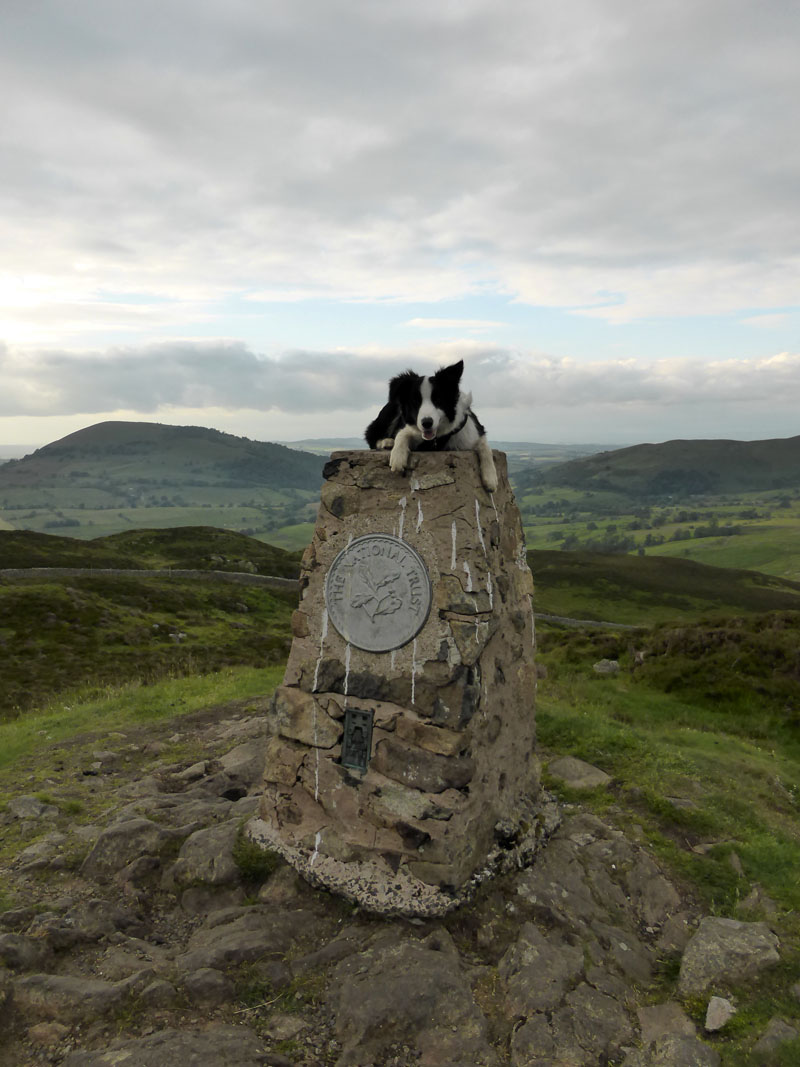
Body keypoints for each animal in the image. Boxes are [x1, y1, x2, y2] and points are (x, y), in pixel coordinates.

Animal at [366, 358, 499, 490]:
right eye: (415, 402)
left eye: (438, 400)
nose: (426, 423)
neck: (437, 438)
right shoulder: (413, 430)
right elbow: (402, 434)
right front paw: (397, 457)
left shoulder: (473, 431)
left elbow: (485, 447)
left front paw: (491, 478)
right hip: (390, 410)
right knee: (371, 435)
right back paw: (386, 442)